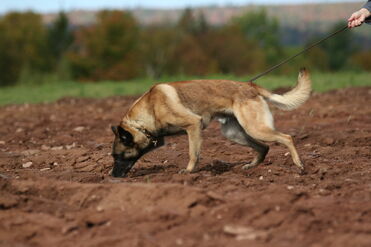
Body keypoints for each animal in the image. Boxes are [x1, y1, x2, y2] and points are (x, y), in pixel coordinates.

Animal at [110, 68, 310, 177]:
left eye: (118, 156)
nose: (111, 176)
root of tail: (250, 86)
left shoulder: (193, 125)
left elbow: (193, 153)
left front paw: (189, 172)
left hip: (254, 128)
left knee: (286, 138)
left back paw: (299, 165)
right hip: (235, 134)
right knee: (264, 147)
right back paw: (250, 167)